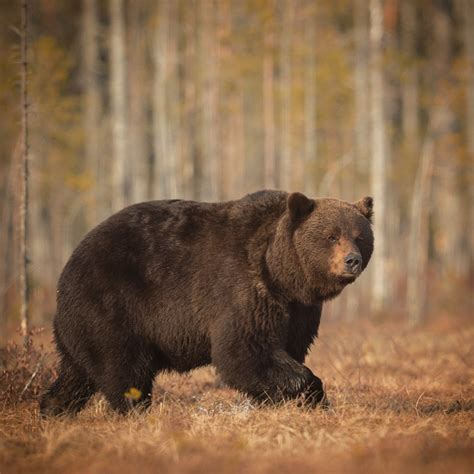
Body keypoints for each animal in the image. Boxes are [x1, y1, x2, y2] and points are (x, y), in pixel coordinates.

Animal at [39, 189, 374, 414]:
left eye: (360, 236)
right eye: (331, 236)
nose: (352, 260)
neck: (282, 274)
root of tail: (65, 272)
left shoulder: (298, 310)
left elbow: (289, 347)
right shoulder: (241, 289)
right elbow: (244, 352)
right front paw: (311, 393)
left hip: (82, 330)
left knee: (76, 374)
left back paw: (52, 409)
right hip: (112, 308)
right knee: (124, 370)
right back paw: (135, 411)